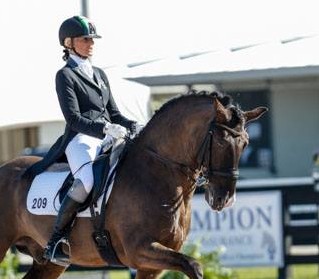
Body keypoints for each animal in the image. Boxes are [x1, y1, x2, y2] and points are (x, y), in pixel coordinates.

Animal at [0, 91, 268, 278]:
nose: (224, 199)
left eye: (245, 143)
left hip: (49, 262)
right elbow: (194, 266)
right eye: (221, 143)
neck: (157, 173)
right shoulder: (140, 250)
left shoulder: (151, 265)